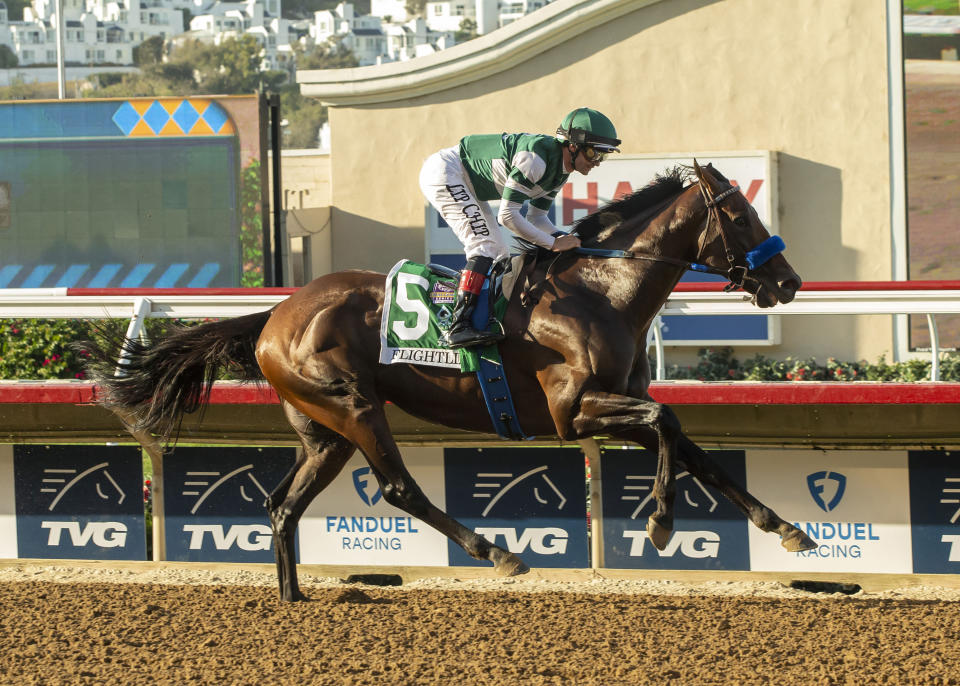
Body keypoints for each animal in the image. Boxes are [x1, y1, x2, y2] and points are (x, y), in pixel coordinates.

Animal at [84, 163, 816, 600]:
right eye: (740, 216)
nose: (788, 282)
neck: (600, 290)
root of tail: (275, 314)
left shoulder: (620, 401)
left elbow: (689, 443)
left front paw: (784, 528)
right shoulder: (574, 411)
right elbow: (667, 425)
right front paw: (661, 523)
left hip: (324, 431)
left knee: (281, 504)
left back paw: (293, 597)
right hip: (353, 406)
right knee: (397, 487)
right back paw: (496, 552)